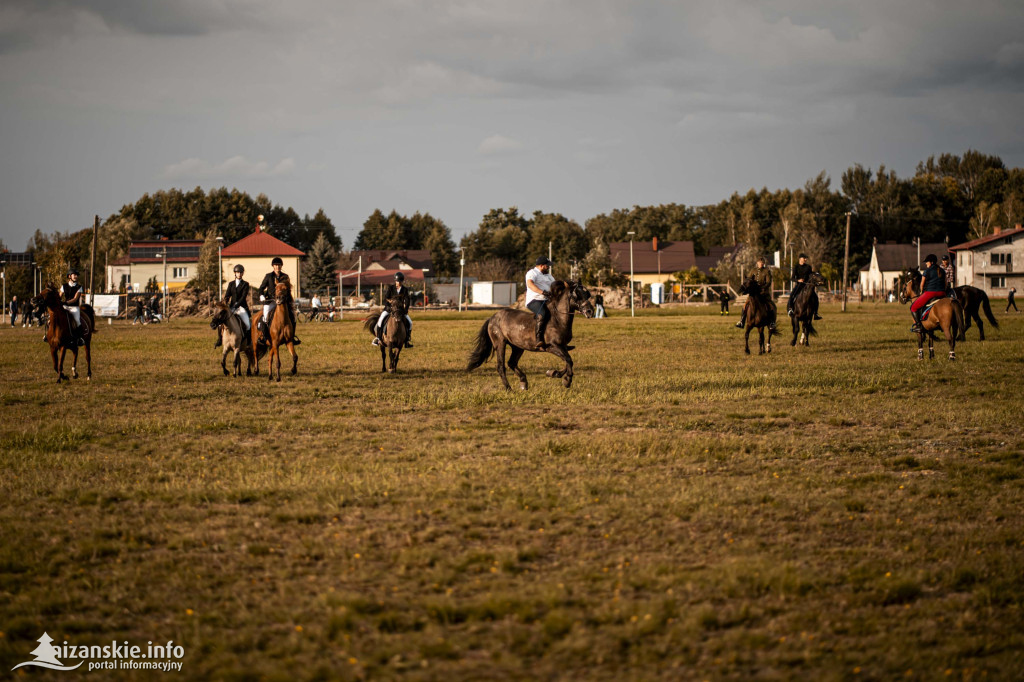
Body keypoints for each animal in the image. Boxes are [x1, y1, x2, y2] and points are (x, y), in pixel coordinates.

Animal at [468, 280, 598, 387]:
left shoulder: (562, 347)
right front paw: (567, 380)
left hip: (518, 347)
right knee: (501, 366)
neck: (558, 319)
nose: (590, 311)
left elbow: (567, 361)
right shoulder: (553, 346)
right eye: (577, 295)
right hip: (500, 344)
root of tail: (492, 318)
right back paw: (509, 388)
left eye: (587, 294)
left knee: (512, 363)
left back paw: (523, 381)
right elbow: (569, 360)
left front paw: (554, 373)